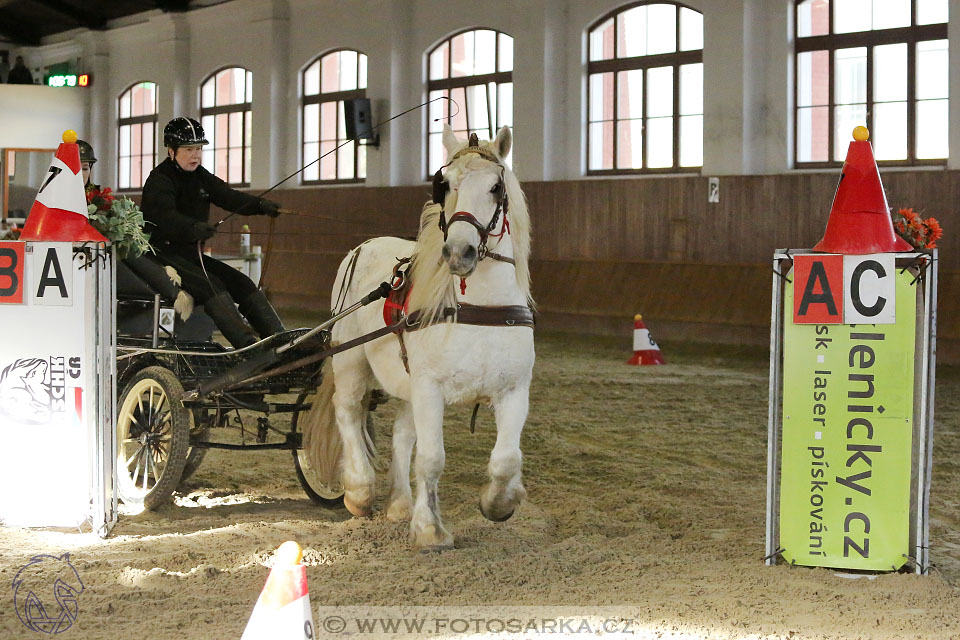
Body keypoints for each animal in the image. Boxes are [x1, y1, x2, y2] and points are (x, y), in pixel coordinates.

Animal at [304, 125, 532, 552]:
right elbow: (431, 459)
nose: (458, 252)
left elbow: (506, 458)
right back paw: (359, 491)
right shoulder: (430, 388)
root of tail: (363, 246)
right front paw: (430, 530)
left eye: (496, 187)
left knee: (400, 433)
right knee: (349, 410)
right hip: (351, 360)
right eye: (446, 185)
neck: (479, 309)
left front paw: (498, 504)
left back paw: (399, 504)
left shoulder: (514, 390)